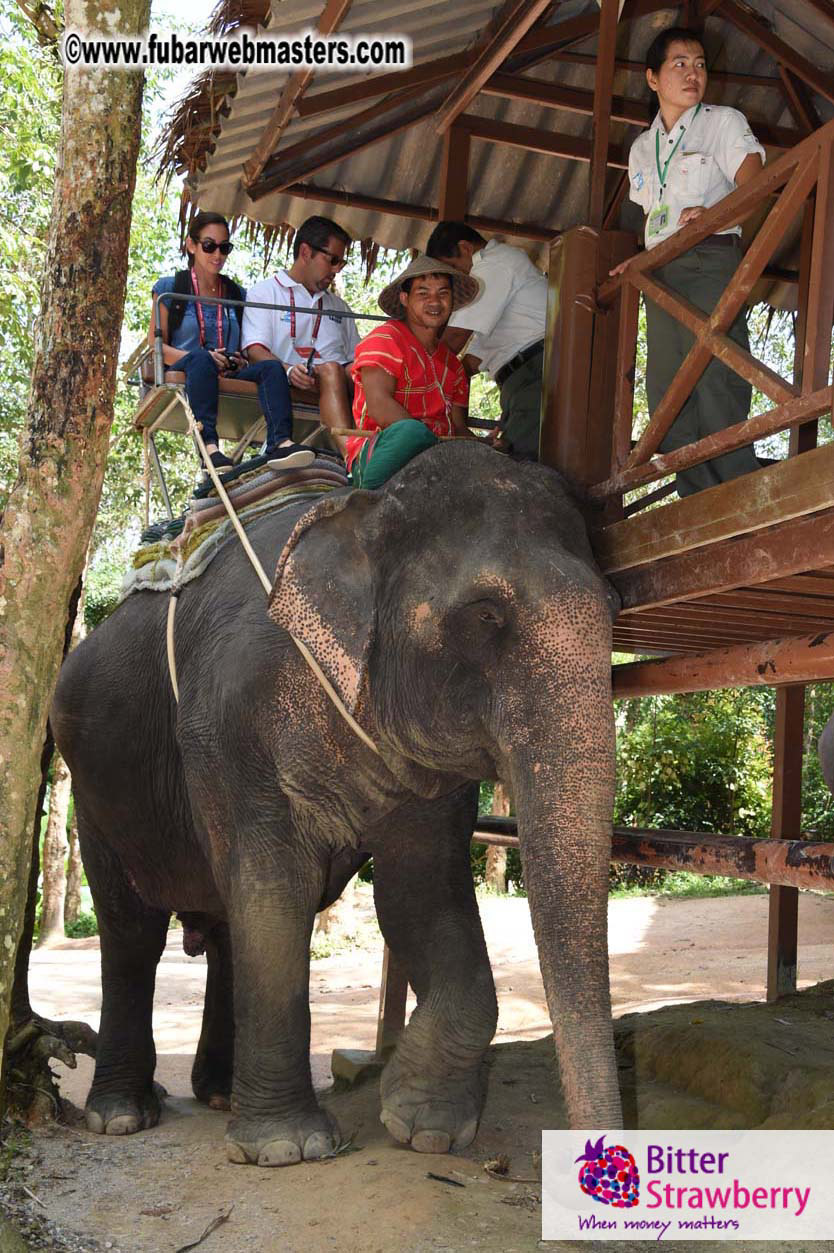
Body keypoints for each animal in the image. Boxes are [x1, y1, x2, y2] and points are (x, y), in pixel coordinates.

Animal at [51, 440, 622, 1167]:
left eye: (616, 607)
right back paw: (123, 1116)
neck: (366, 507)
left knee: (225, 922)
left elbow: (419, 891)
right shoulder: (228, 721)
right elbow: (276, 889)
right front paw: (287, 1148)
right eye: (487, 614)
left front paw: (421, 1124)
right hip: (95, 790)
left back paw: (219, 1095)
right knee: (132, 932)